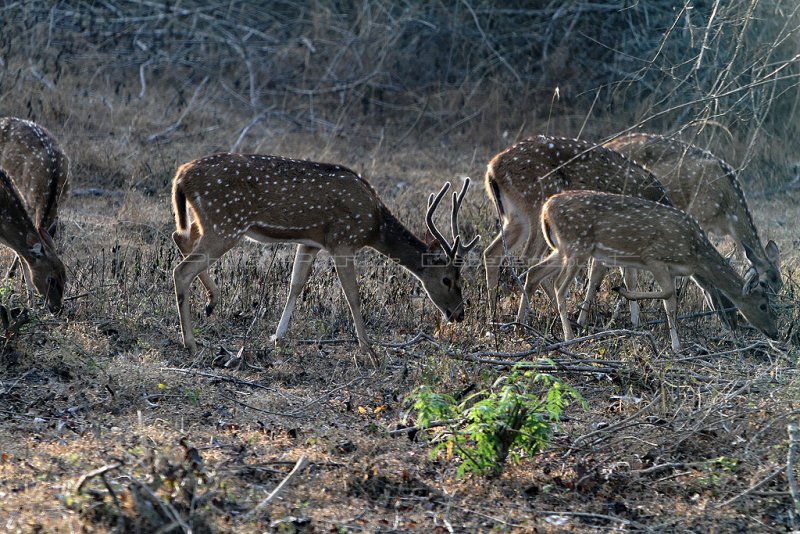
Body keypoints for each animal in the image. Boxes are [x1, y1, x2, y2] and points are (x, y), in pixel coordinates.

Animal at [171, 155, 478, 364]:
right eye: (448, 279)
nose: (459, 314)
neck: (374, 226)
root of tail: (181, 175)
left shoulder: (310, 242)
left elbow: (296, 284)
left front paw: (277, 336)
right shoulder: (343, 240)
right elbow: (353, 295)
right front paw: (369, 351)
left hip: (208, 221)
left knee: (179, 236)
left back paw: (211, 302)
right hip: (226, 222)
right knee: (181, 270)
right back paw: (191, 342)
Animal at [524, 193, 780, 352]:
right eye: (763, 305)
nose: (775, 333)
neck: (695, 252)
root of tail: (545, 209)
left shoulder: (674, 270)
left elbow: (670, 303)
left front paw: (675, 344)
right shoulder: (654, 258)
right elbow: (669, 296)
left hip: (562, 248)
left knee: (534, 272)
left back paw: (523, 323)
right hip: (576, 246)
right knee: (558, 285)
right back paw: (568, 337)